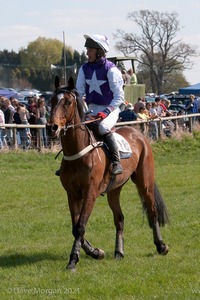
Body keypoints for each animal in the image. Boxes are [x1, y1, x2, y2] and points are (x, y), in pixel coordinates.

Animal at [50, 76, 169, 270]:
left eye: (67, 102)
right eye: (52, 100)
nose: (51, 127)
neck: (78, 152)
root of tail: (138, 133)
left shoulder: (90, 192)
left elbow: (80, 226)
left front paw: (73, 260)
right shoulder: (72, 194)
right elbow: (75, 227)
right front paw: (95, 252)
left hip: (145, 182)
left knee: (152, 211)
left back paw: (161, 246)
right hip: (114, 189)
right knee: (119, 218)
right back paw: (119, 252)